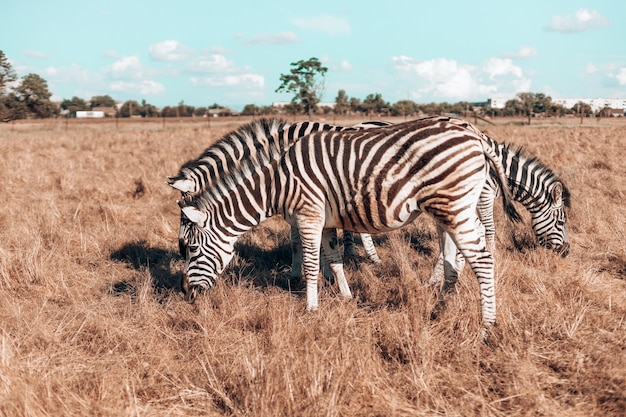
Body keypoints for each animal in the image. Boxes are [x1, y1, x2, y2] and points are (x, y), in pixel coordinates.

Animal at [172, 115, 520, 336]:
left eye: (190, 248)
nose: (186, 294)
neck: (276, 183)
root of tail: (476, 135)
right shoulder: (324, 220)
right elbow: (335, 258)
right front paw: (346, 296)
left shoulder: (308, 214)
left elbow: (311, 262)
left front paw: (310, 307)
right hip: (447, 208)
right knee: (454, 254)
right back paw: (442, 305)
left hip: (455, 205)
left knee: (482, 259)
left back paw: (487, 325)